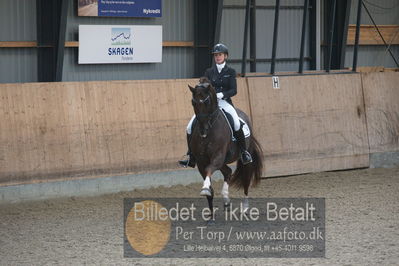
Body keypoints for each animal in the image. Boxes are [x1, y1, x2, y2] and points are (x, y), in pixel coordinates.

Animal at [188, 77, 264, 218]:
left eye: (207, 101)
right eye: (193, 102)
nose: (203, 130)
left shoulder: (217, 157)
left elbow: (209, 170)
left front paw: (205, 188)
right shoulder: (201, 162)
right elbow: (209, 185)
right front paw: (211, 216)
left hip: (245, 160)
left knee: (245, 180)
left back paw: (245, 208)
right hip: (222, 162)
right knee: (228, 171)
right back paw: (226, 200)